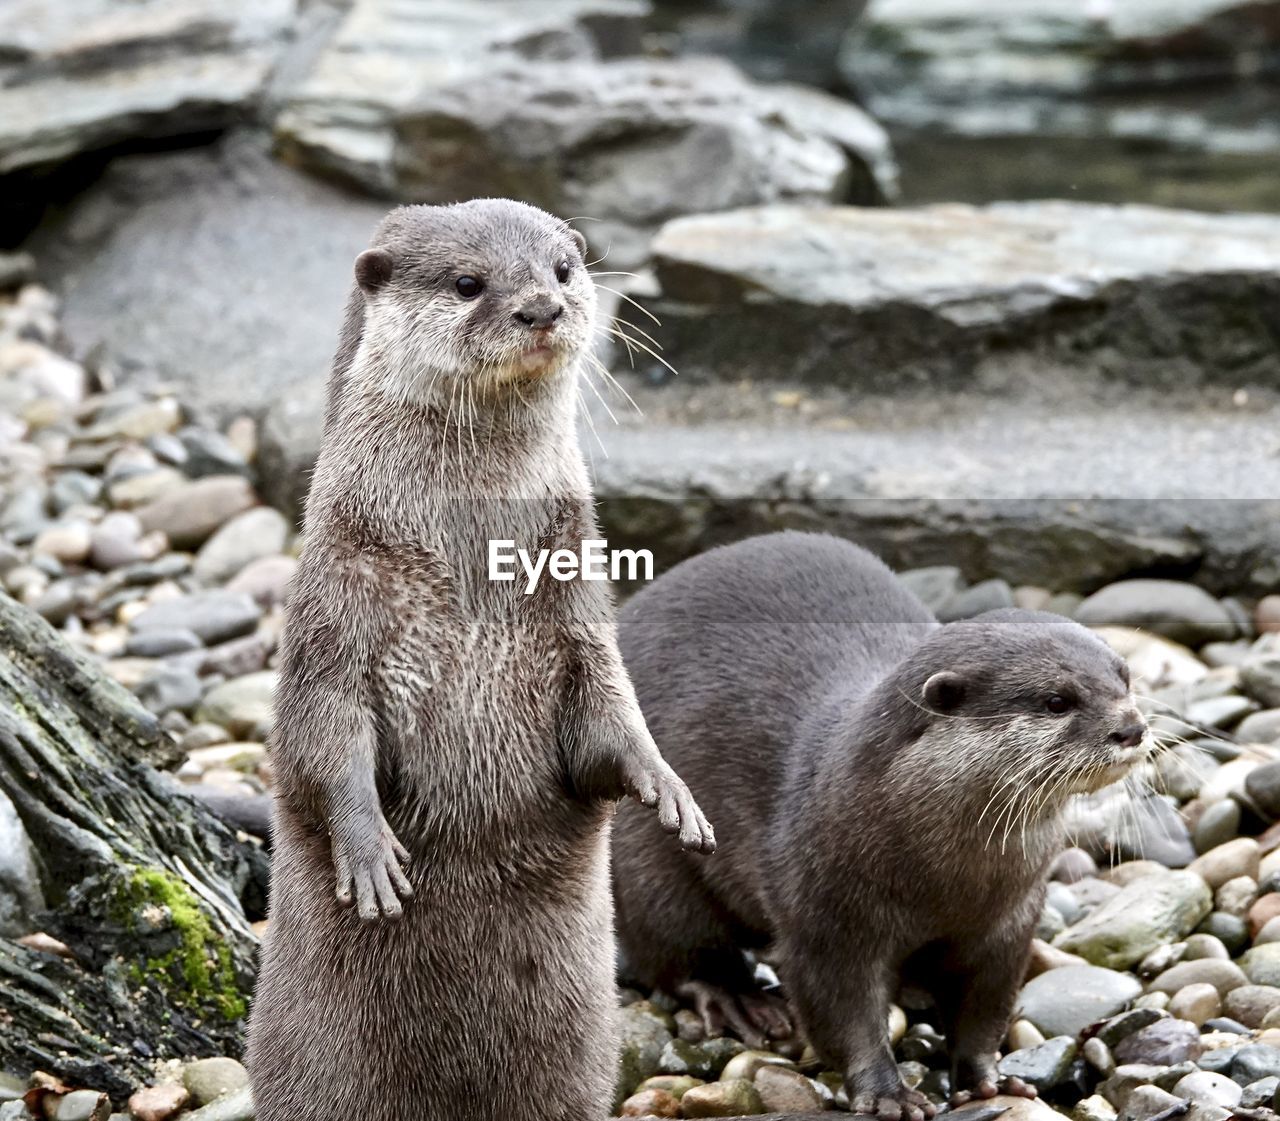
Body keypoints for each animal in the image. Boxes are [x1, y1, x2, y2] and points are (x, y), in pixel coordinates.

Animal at [243, 199, 716, 1121]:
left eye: (562, 269)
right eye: (468, 282)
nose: (542, 307)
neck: (468, 558)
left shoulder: (579, 614)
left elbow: (609, 716)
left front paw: (667, 786)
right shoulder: (333, 605)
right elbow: (320, 734)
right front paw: (368, 848)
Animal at [609, 532, 1152, 1121]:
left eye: (1124, 678)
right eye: (1057, 701)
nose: (1132, 728)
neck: (947, 884)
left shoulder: (1010, 922)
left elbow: (986, 1009)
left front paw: (988, 1080)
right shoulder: (825, 919)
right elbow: (844, 1012)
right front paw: (888, 1092)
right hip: (647, 861)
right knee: (673, 950)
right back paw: (738, 1000)